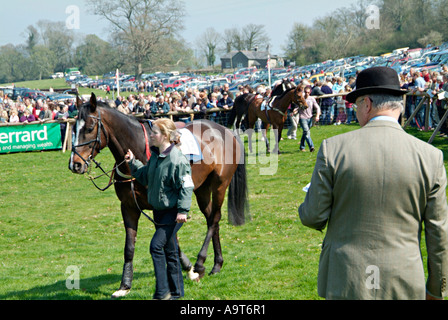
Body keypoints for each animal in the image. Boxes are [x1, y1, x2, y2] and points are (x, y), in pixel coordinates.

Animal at [68, 94, 248, 298]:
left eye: (90, 127)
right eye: (74, 127)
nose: (75, 164)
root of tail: (225, 130)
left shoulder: (159, 208)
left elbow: (170, 241)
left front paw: (190, 269)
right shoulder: (128, 207)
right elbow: (129, 247)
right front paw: (125, 285)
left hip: (219, 185)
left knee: (215, 219)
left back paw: (201, 263)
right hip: (201, 189)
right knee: (212, 219)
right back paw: (217, 264)